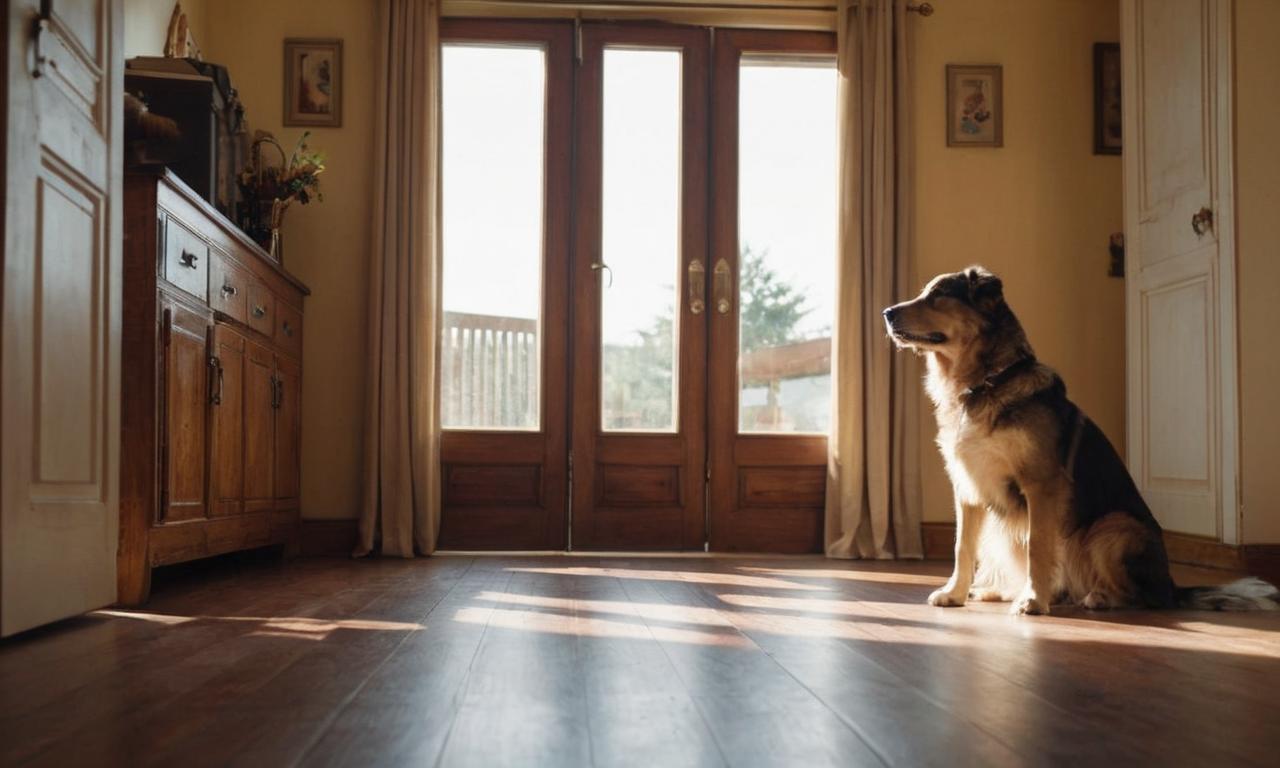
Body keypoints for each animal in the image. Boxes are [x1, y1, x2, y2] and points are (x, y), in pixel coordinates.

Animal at [885, 267, 1274, 614]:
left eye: (938, 295)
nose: (886, 313)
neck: (986, 382)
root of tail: (1172, 585)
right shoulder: (968, 489)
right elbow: (962, 546)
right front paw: (954, 593)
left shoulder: (1039, 484)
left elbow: (1037, 546)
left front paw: (1034, 600)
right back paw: (1000, 591)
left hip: (1111, 529)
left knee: (1141, 597)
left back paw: (1096, 597)